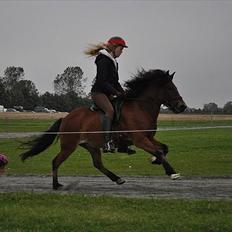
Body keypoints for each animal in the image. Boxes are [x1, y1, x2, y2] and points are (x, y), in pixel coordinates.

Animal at [19, 69, 187, 190]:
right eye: (170, 88)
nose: (182, 106)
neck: (140, 107)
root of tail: (66, 118)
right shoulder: (140, 140)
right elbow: (159, 151)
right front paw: (171, 172)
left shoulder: (149, 138)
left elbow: (164, 148)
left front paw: (156, 161)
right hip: (69, 146)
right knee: (56, 161)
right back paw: (56, 185)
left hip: (91, 146)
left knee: (98, 164)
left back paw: (117, 178)